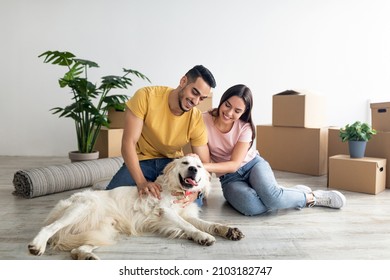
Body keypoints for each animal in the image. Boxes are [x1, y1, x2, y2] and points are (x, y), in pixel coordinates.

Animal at [28, 154, 244, 260]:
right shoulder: (166, 211)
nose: (192, 169)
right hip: (83, 207)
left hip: (105, 230)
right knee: (50, 227)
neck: (176, 190)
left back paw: (87, 256)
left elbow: (207, 223)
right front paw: (202, 236)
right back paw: (37, 245)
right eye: (185, 163)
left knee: (77, 249)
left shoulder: (184, 215)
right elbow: (189, 226)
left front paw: (227, 230)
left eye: (198, 167)